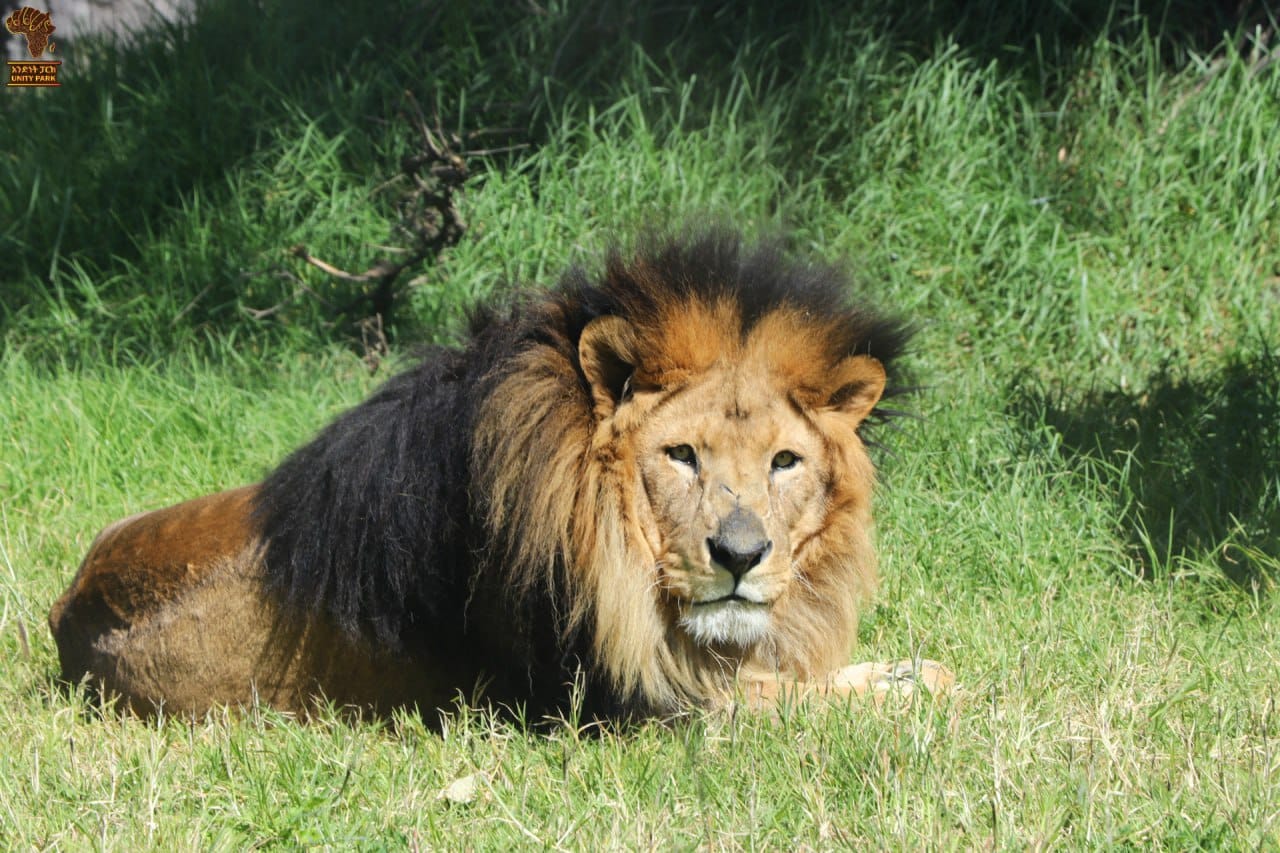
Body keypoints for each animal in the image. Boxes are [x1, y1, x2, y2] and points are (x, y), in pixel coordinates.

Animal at [48, 231, 952, 720]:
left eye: (784, 461)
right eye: (681, 455)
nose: (739, 554)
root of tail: (67, 607)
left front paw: (917, 673)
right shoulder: (632, 702)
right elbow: (818, 699)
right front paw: (919, 696)